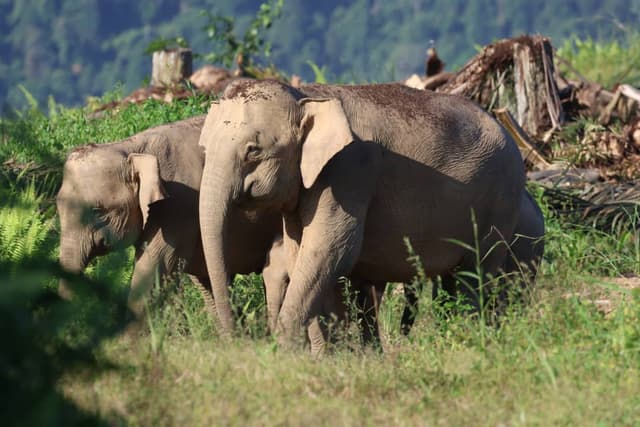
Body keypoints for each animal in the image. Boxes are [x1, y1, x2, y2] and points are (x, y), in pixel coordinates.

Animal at [198, 79, 526, 353]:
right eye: (204, 149)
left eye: (253, 150)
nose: (238, 340)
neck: (307, 95)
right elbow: (303, 255)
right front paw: (329, 357)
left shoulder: (349, 171)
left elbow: (328, 250)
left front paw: (283, 353)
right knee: (454, 278)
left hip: (500, 202)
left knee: (477, 273)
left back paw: (472, 340)